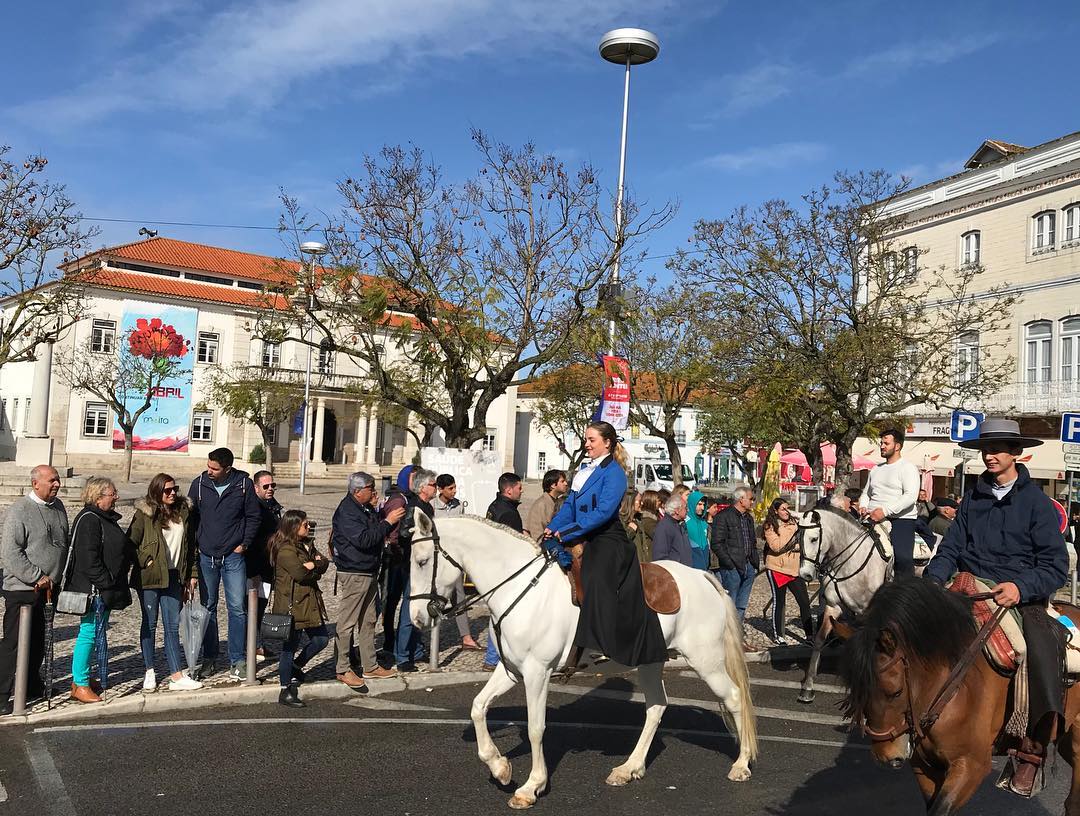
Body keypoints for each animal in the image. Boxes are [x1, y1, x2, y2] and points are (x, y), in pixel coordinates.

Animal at [407, 511, 758, 809]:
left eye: (422, 561)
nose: (418, 618)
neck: (520, 587)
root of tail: (702, 577)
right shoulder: (510, 671)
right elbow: (478, 707)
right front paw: (499, 767)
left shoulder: (537, 672)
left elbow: (536, 728)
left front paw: (531, 786)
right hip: (650, 662)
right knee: (657, 706)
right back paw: (629, 768)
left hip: (705, 660)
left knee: (734, 697)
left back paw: (741, 764)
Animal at [795, 507, 892, 704]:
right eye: (798, 538)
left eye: (814, 539)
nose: (805, 574)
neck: (851, 562)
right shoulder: (834, 606)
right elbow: (819, 639)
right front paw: (808, 686)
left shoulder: (867, 612)